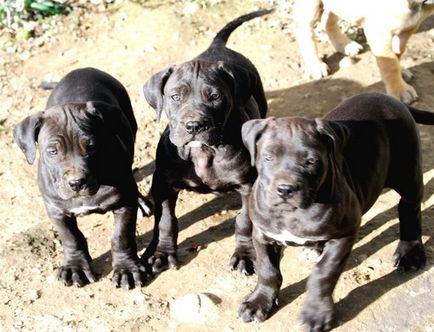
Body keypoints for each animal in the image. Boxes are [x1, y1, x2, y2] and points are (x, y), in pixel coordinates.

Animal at [13, 67, 152, 288]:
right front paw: (75, 267)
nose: (76, 183)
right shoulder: (56, 210)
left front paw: (126, 269)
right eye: (52, 151)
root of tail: (84, 69)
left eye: (92, 147)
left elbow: (121, 236)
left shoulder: (124, 204)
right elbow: (71, 238)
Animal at [142, 9, 272, 274]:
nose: (194, 126)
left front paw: (245, 254)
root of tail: (216, 46)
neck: (202, 152)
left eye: (215, 97)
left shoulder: (248, 186)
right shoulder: (163, 183)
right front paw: (161, 253)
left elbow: (245, 222)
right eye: (175, 96)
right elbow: (165, 220)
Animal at [239, 92, 432, 330]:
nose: (285, 189)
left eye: (311, 161)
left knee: (409, 210)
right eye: (267, 157)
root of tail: (389, 98)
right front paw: (259, 302)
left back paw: (410, 253)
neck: (292, 213)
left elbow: (323, 273)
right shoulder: (262, 234)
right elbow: (267, 270)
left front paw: (316, 313)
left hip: (407, 173)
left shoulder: (345, 233)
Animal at [294, 0, 434, 104]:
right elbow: (389, 64)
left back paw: (345, 44)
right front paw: (399, 89)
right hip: (310, 6)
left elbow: (398, 53)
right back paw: (314, 65)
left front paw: (401, 72)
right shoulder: (379, 31)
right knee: (304, 29)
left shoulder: (410, 27)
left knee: (328, 19)